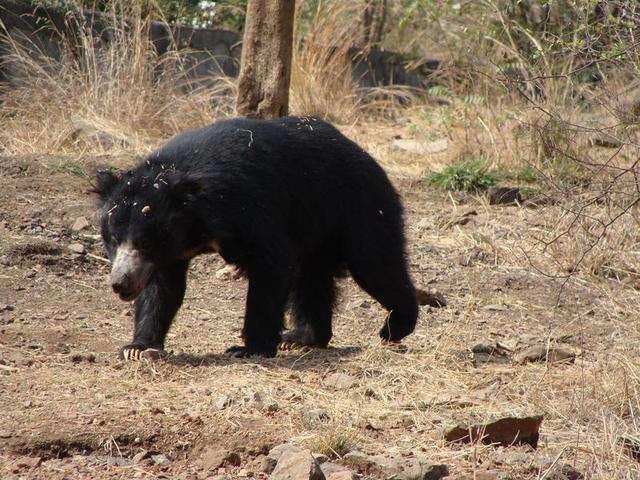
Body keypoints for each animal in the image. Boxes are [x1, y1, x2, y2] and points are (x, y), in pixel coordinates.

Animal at [91, 114, 420, 358]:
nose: (120, 283)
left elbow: (270, 266)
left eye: (145, 242)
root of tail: (368, 158)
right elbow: (162, 287)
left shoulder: (249, 207)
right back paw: (301, 338)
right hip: (316, 230)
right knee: (312, 280)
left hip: (360, 208)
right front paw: (137, 348)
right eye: (112, 240)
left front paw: (249, 348)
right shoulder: (170, 251)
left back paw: (395, 326)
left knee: (376, 264)